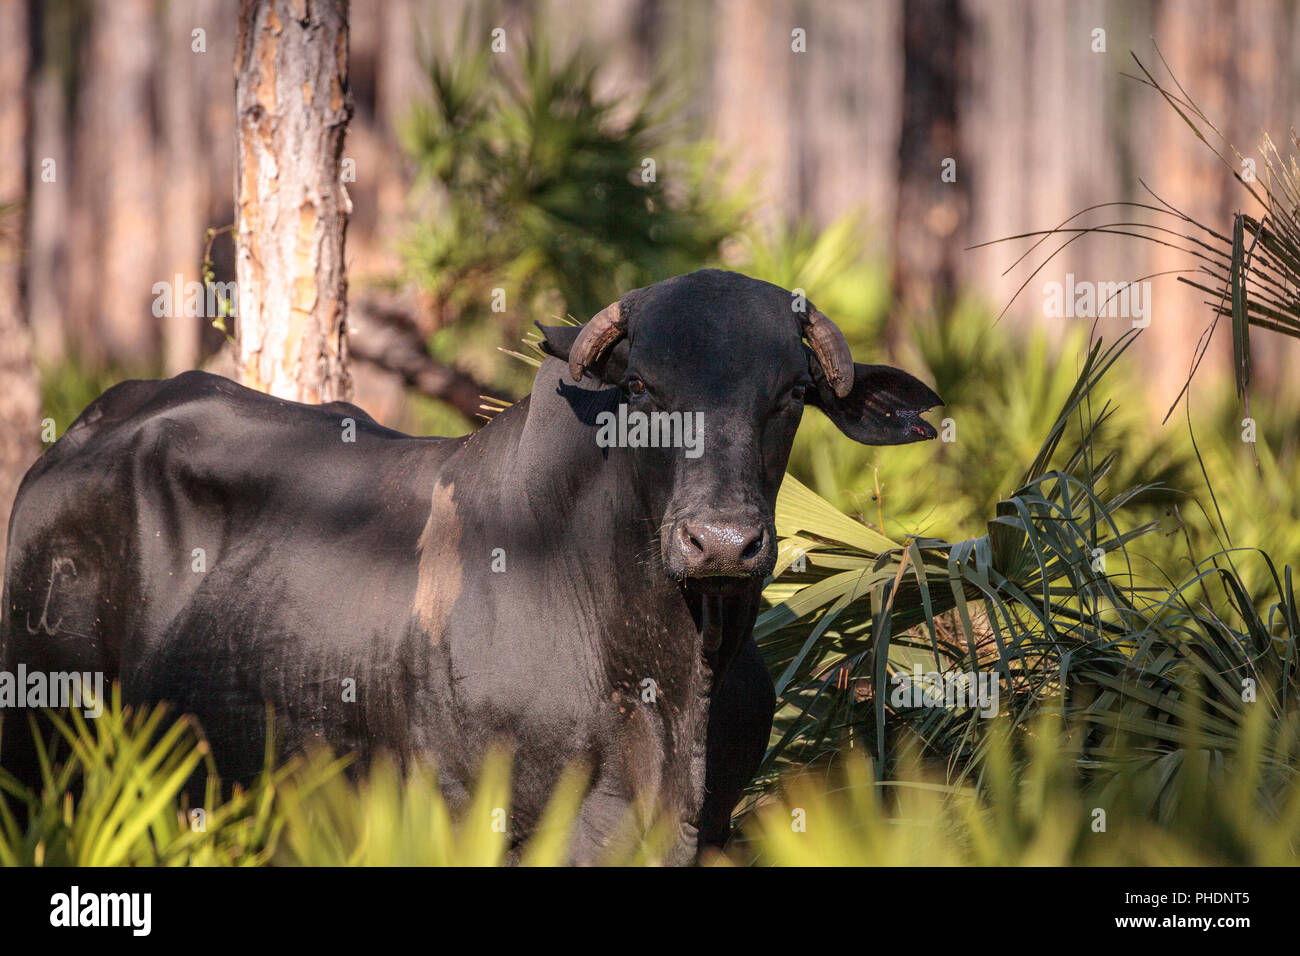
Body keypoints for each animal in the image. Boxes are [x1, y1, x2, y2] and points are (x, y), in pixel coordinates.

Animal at [0, 267, 935, 858]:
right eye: (643, 387)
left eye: (791, 394)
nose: (721, 541)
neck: (668, 675)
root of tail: (88, 428)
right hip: (42, 741)